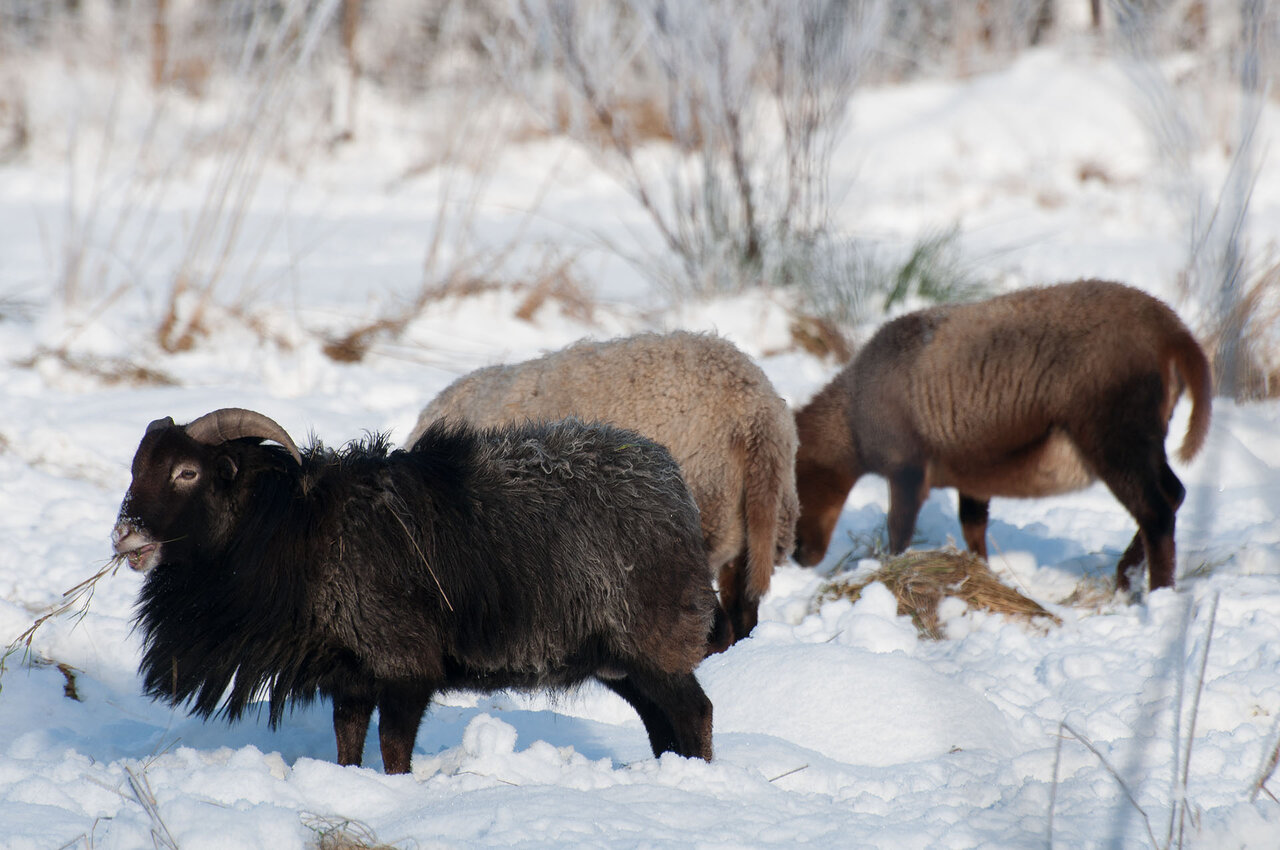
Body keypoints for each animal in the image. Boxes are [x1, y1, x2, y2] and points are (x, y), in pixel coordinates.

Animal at [112, 409, 721, 773]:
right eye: (138, 466)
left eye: (187, 472)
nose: (125, 535)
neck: (291, 527)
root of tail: (674, 487)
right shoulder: (351, 676)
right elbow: (349, 745)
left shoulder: (405, 666)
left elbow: (393, 748)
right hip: (621, 663)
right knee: (662, 722)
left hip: (655, 645)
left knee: (697, 712)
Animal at [793, 279, 1213, 591]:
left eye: (795, 482)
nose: (798, 556)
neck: (852, 420)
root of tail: (1173, 334)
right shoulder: (972, 473)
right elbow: (973, 528)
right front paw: (981, 574)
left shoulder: (907, 467)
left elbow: (900, 531)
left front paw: (892, 572)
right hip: (1147, 439)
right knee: (1174, 494)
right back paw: (1126, 576)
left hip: (1116, 436)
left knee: (1156, 512)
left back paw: (1155, 593)